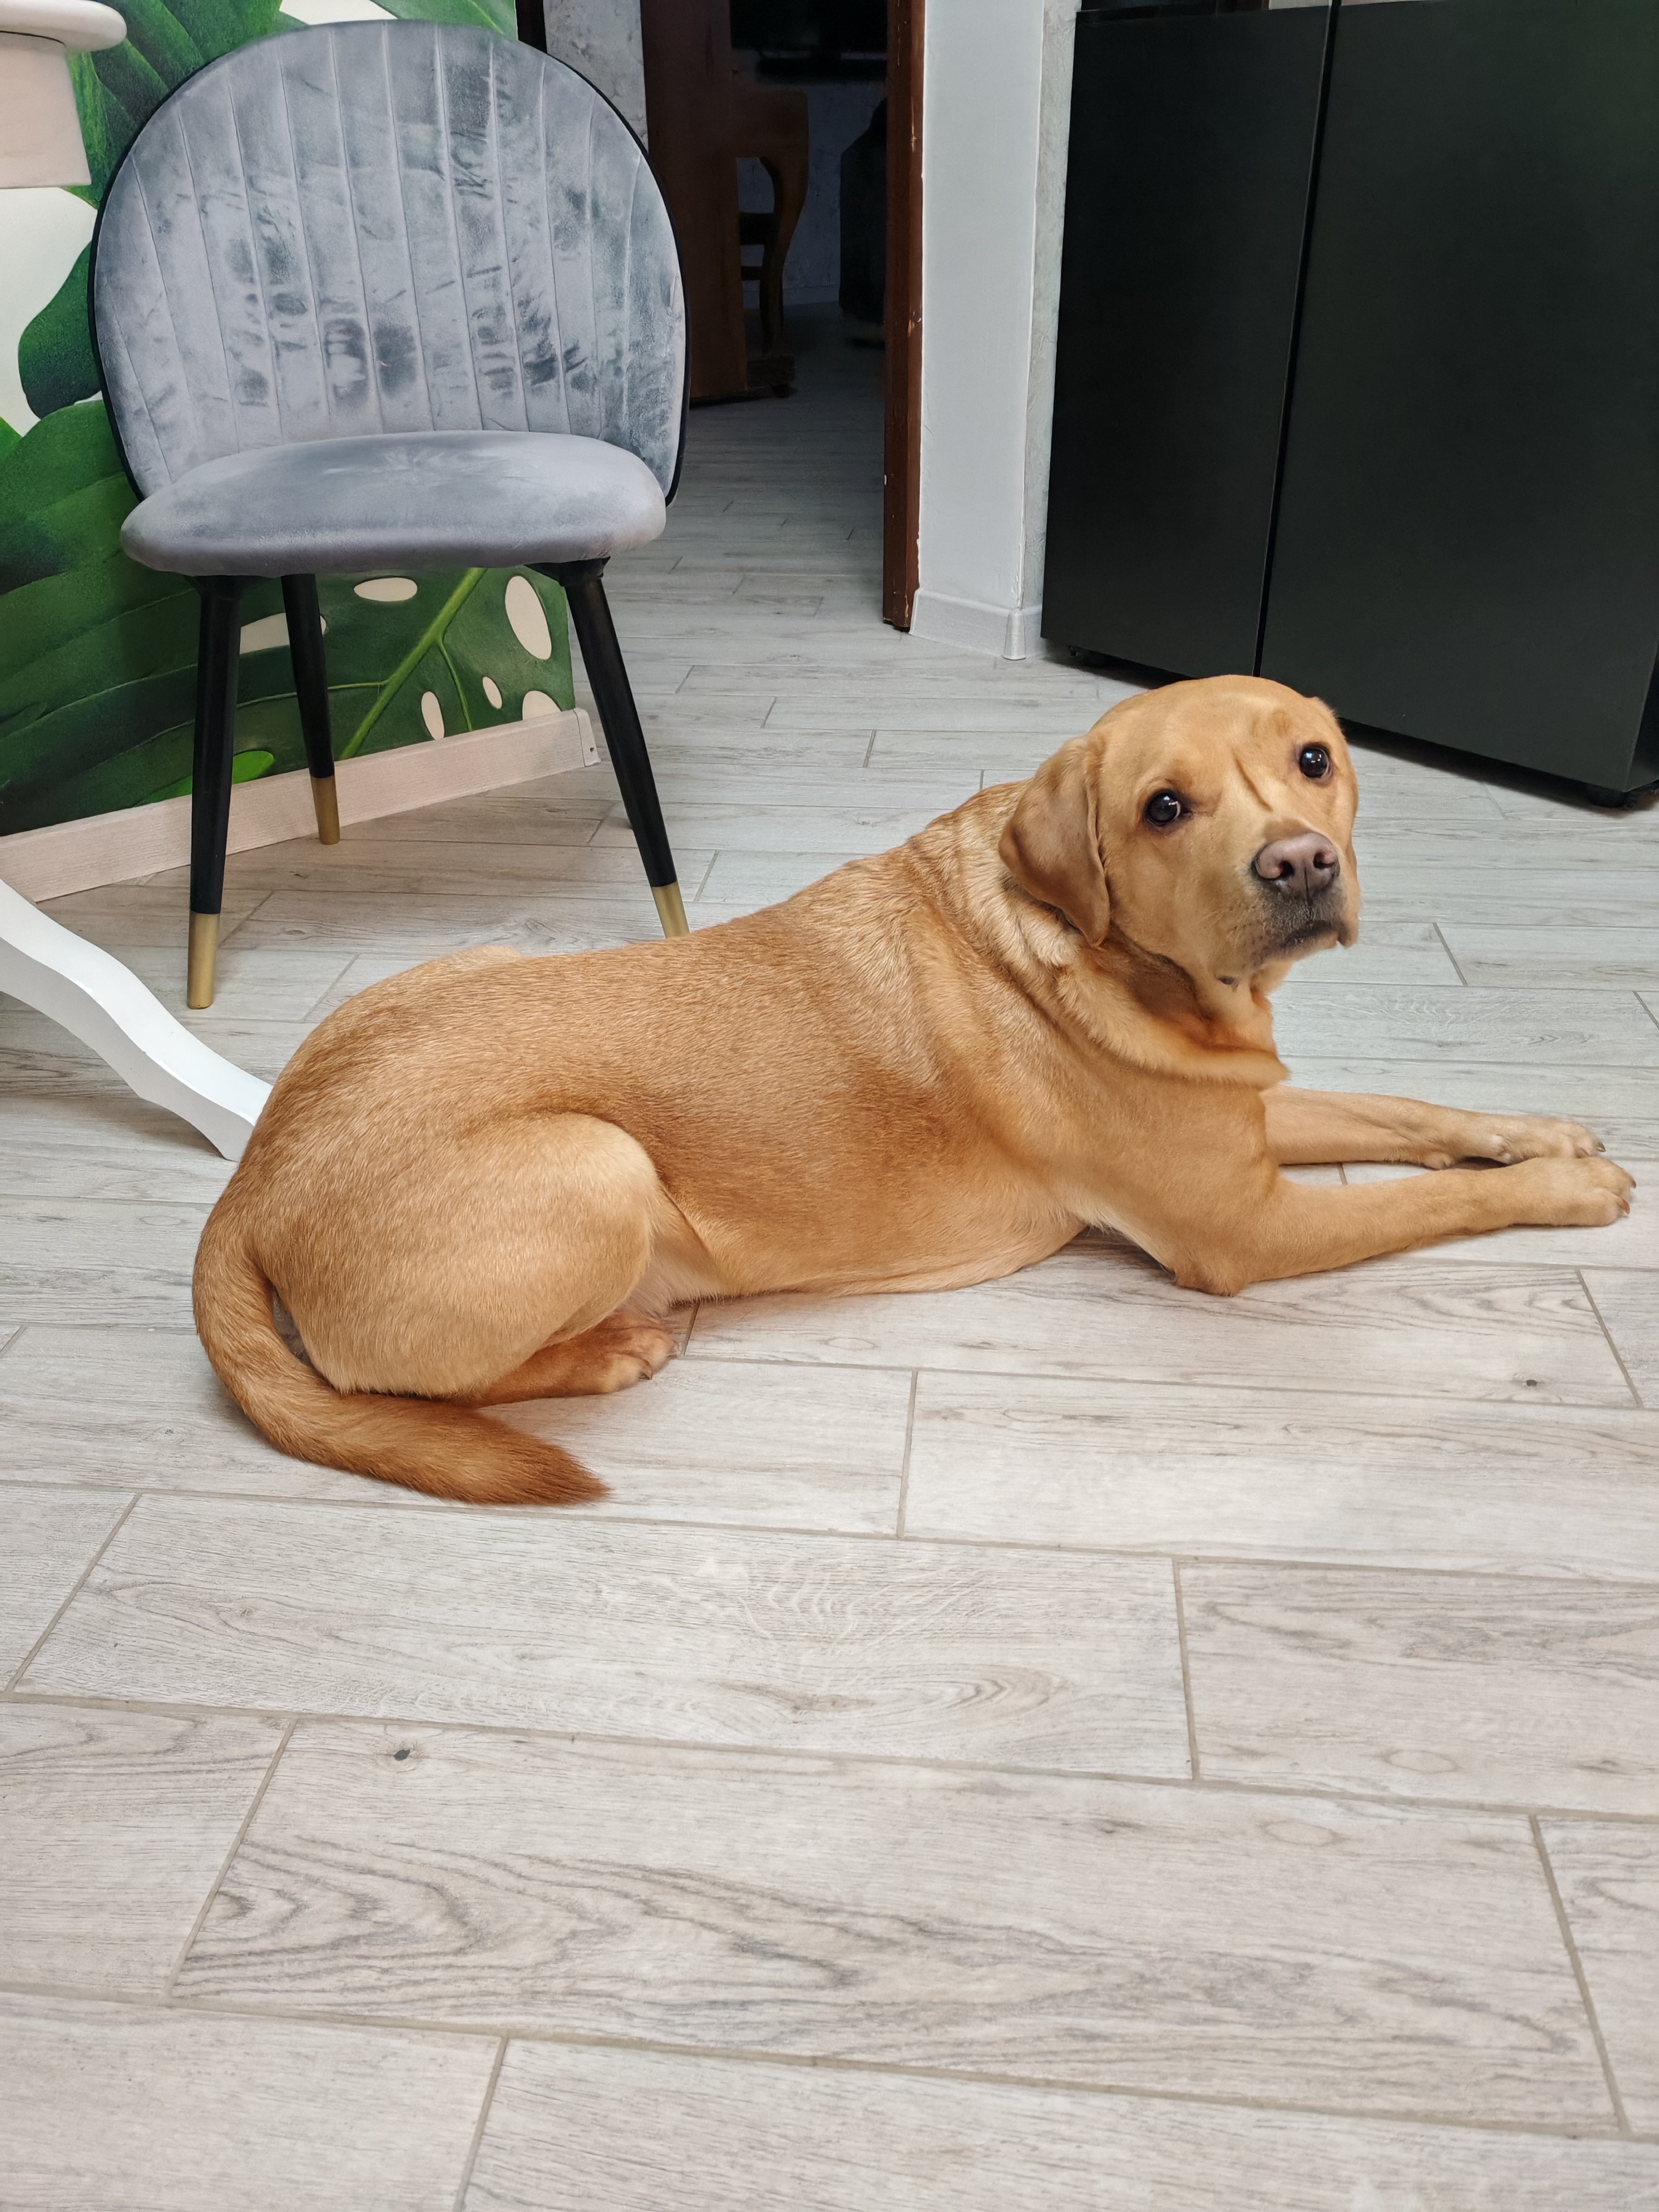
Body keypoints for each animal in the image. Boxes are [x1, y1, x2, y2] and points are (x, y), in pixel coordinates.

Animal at [194, 675, 1633, 1504]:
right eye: (1164, 807)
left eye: (1314, 759)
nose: (1298, 864)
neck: (1108, 955)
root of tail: (252, 1176)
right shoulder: (1241, 1227)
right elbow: (1429, 1204)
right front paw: (1570, 1189)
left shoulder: (1242, 1119)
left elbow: (1411, 1110)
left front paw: (1541, 1130)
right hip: (594, 1166)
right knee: (423, 1397)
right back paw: (606, 1350)